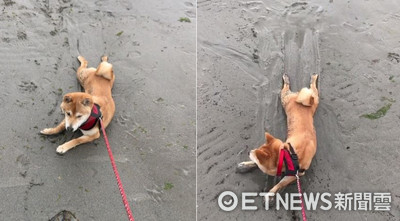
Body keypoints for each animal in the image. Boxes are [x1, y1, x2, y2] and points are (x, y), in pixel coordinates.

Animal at [238, 74, 318, 202]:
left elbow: (280, 184)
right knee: (310, 91)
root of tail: (303, 101)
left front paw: (271, 194)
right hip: (304, 100)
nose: (249, 151)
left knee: (307, 89)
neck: (288, 156)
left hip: (288, 98)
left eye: (255, 153)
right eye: (257, 149)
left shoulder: (297, 174)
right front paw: (246, 165)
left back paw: (306, 80)